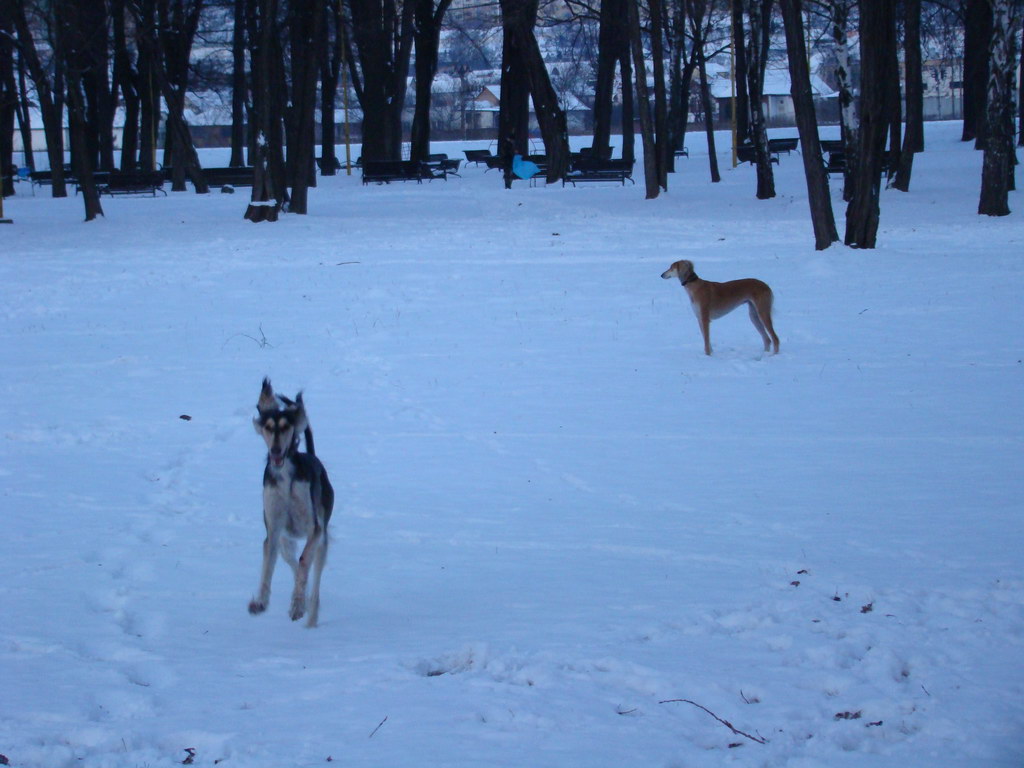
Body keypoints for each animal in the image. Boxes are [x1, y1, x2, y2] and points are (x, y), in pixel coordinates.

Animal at [247, 376, 331, 626]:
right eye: (268, 428)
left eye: (285, 427)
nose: (275, 451)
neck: (285, 477)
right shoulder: (273, 532)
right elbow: (268, 568)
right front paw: (260, 602)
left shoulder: (314, 529)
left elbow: (304, 562)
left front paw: (297, 606)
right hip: (285, 541)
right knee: (293, 562)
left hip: (322, 540)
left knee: (313, 571)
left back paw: (310, 615)